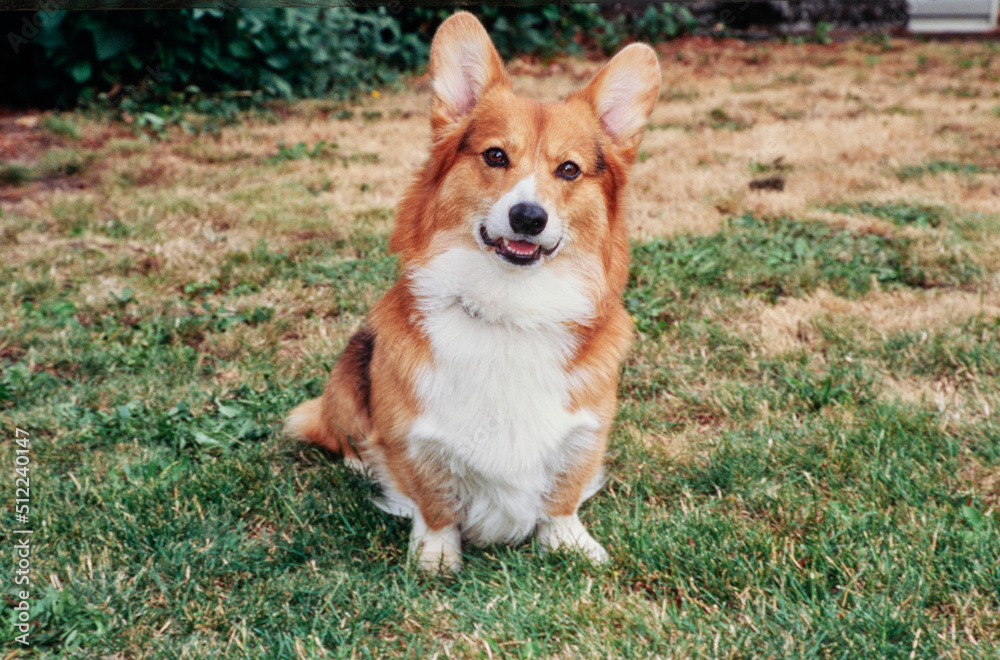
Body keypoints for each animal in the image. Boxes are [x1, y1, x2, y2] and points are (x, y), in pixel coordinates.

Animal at [286, 14, 660, 572]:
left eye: (568, 169)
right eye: (496, 156)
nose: (528, 217)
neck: (511, 307)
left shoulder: (585, 430)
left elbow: (562, 499)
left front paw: (571, 542)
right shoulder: (415, 438)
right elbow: (434, 502)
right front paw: (436, 557)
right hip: (348, 379)